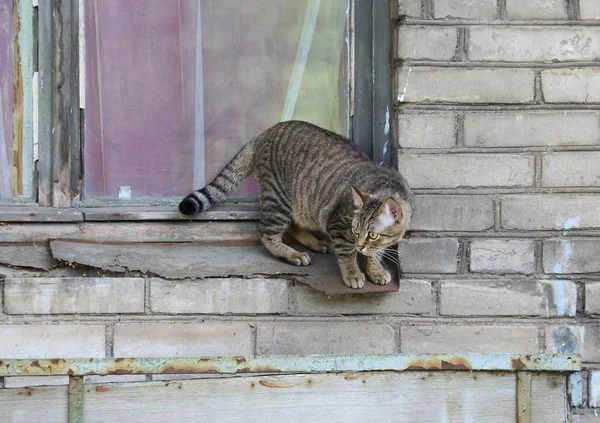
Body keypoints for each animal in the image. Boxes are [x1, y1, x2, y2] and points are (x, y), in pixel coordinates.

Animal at [178, 121, 412, 290]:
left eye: (372, 234)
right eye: (355, 230)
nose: (360, 245)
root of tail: (265, 133)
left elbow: (377, 252)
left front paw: (376, 269)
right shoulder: (337, 224)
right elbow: (346, 253)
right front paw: (354, 273)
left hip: (299, 204)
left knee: (292, 225)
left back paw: (316, 243)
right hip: (278, 198)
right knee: (268, 235)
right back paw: (292, 254)